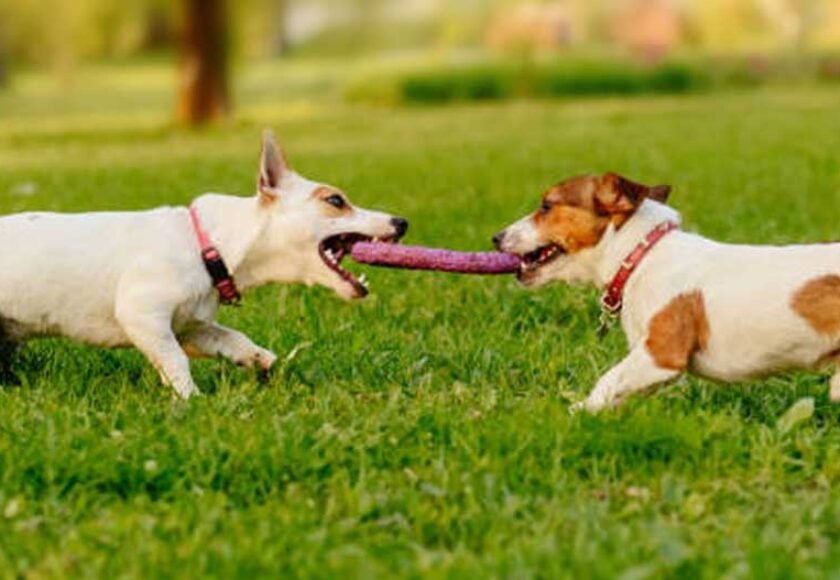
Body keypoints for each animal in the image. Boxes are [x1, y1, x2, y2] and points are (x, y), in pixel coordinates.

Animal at [0, 130, 406, 398]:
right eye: (336, 200)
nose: (402, 222)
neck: (208, 245)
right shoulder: (143, 315)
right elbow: (177, 362)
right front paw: (191, 401)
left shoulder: (190, 327)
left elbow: (232, 339)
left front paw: (263, 361)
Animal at [496, 172, 840, 412]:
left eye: (546, 206)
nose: (496, 237)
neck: (640, 256)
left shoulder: (659, 355)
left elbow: (607, 380)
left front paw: (575, 411)